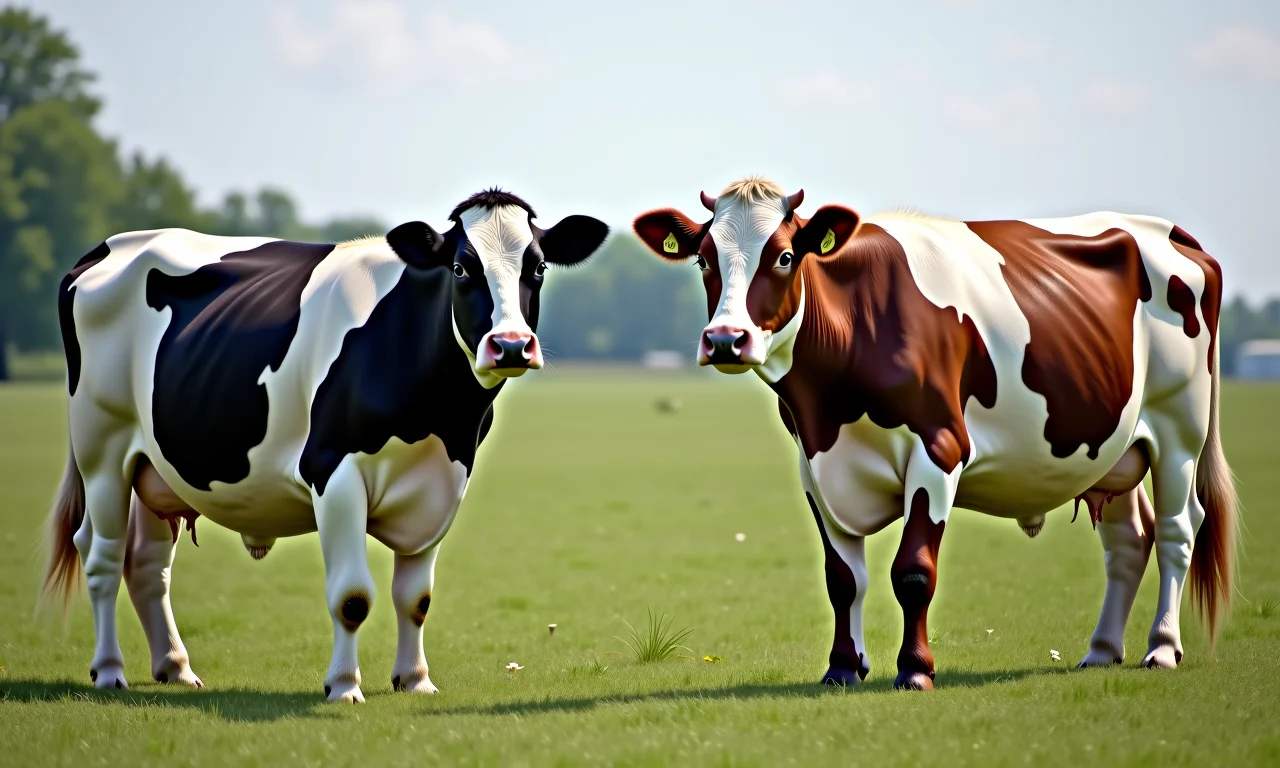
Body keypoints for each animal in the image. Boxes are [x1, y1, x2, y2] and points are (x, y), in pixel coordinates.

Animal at [42, 189, 609, 702]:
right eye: (461, 268)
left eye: (538, 268)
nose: (511, 346)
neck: (437, 421)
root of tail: (111, 246)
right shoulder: (332, 472)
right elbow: (352, 597)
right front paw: (343, 686)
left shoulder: (443, 482)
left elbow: (417, 598)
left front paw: (415, 680)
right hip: (102, 449)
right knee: (102, 557)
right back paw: (109, 671)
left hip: (154, 467)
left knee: (147, 565)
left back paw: (175, 667)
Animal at [633, 177, 1236, 690]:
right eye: (703, 258)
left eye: (783, 256)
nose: (725, 340)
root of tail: (1166, 230)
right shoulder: (815, 464)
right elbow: (841, 578)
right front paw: (843, 668)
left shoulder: (940, 449)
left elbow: (914, 572)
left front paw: (915, 670)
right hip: (1110, 447)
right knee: (1129, 540)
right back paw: (1102, 650)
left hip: (1180, 428)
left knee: (1178, 529)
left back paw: (1162, 647)